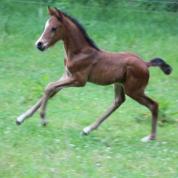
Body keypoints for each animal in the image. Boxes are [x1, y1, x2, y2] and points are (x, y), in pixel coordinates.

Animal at [16, 7, 172, 142]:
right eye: (45, 26)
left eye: (54, 28)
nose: (39, 44)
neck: (79, 52)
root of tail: (145, 63)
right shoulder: (66, 76)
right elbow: (51, 90)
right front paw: (20, 119)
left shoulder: (79, 80)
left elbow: (49, 87)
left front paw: (43, 120)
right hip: (120, 85)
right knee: (118, 101)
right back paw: (87, 130)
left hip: (134, 90)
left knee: (153, 105)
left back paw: (150, 137)